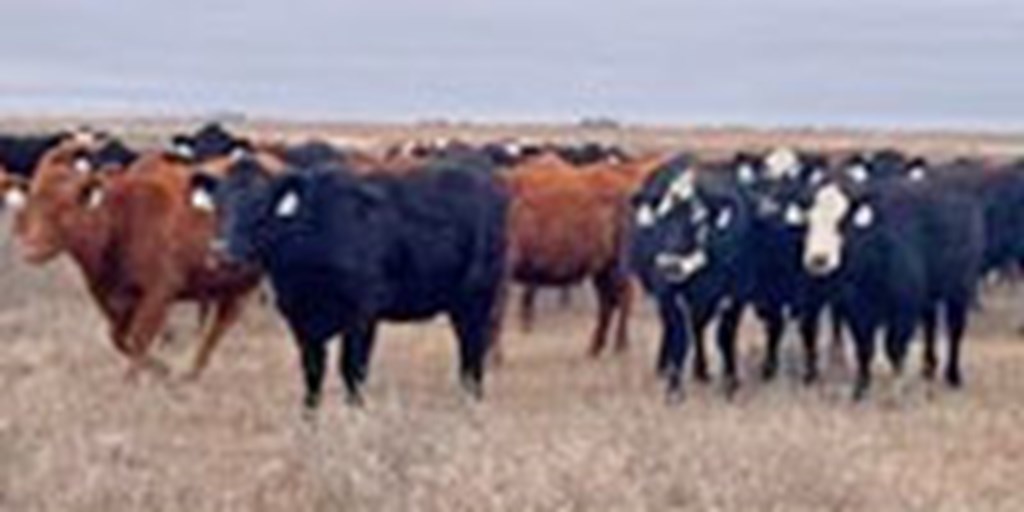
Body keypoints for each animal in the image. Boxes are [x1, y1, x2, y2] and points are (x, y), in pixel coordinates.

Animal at [6, 141, 261, 380]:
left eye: (65, 207)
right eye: (32, 205)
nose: (32, 250)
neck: (124, 217)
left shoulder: (159, 293)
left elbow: (139, 338)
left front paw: (136, 377)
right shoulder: (110, 297)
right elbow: (118, 337)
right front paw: (159, 367)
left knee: (218, 327)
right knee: (219, 325)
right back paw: (192, 373)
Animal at [189, 160, 509, 410]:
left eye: (260, 208)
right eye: (219, 207)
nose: (222, 252)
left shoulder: (362, 315)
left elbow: (352, 370)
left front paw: (355, 416)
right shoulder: (300, 319)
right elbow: (313, 373)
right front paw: (310, 422)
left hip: (476, 300)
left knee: (473, 353)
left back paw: (472, 403)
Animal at [629, 154, 755, 401]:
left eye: (698, 221)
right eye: (661, 219)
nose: (670, 265)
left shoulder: (736, 294)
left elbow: (725, 336)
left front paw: (730, 382)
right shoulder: (668, 293)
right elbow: (679, 337)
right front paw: (674, 389)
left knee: (698, 327)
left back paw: (701, 371)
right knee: (674, 329)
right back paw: (666, 367)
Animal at [798, 175, 984, 399]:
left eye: (842, 222)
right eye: (809, 221)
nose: (818, 260)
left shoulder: (905, 306)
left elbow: (894, 347)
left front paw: (897, 389)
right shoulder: (857, 307)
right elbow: (864, 347)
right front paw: (860, 388)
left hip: (959, 290)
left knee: (955, 330)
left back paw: (953, 375)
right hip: (929, 297)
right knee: (930, 324)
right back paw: (928, 368)